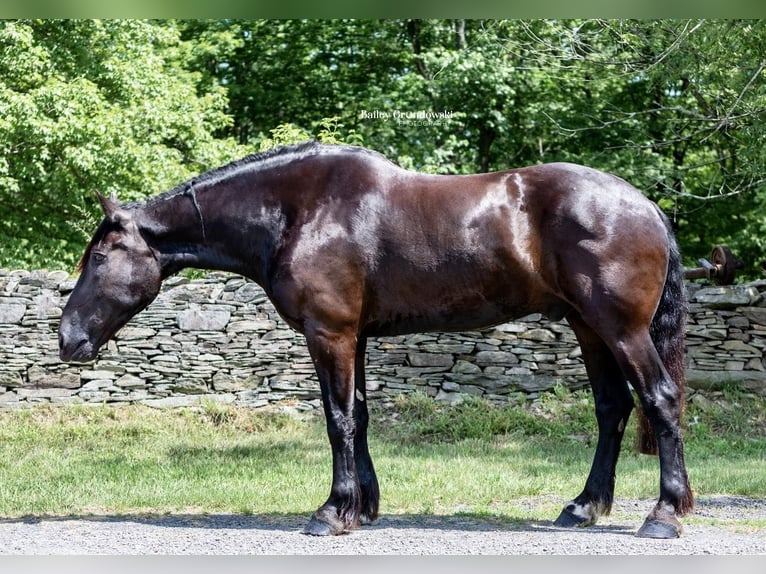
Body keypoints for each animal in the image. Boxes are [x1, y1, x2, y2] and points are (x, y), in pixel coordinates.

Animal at [60, 143, 696, 540]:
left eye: (99, 257)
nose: (67, 337)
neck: (298, 211)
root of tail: (645, 205)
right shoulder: (357, 336)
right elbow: (360, 416)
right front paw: (362, 507)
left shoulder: (330, 333)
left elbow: (338, 418)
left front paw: (332, 511)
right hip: (589, 327)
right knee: (612, 409)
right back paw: (583, 506)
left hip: (620, 329)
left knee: (660, 400)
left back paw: (664, 514)